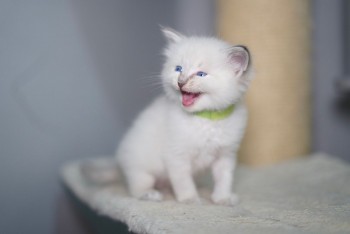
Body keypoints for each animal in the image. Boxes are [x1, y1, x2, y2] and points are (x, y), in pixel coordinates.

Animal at [116, 26, 253, 205]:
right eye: (178, 69)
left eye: (201, 74)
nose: (180, 82)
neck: (206, 118)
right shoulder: (176, 155)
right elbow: (183, 180)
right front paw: (190, 199)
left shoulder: (226, 155)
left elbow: (224, 178)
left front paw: (222, 198)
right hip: (140, 165)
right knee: (137, 185)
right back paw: (149, 194)